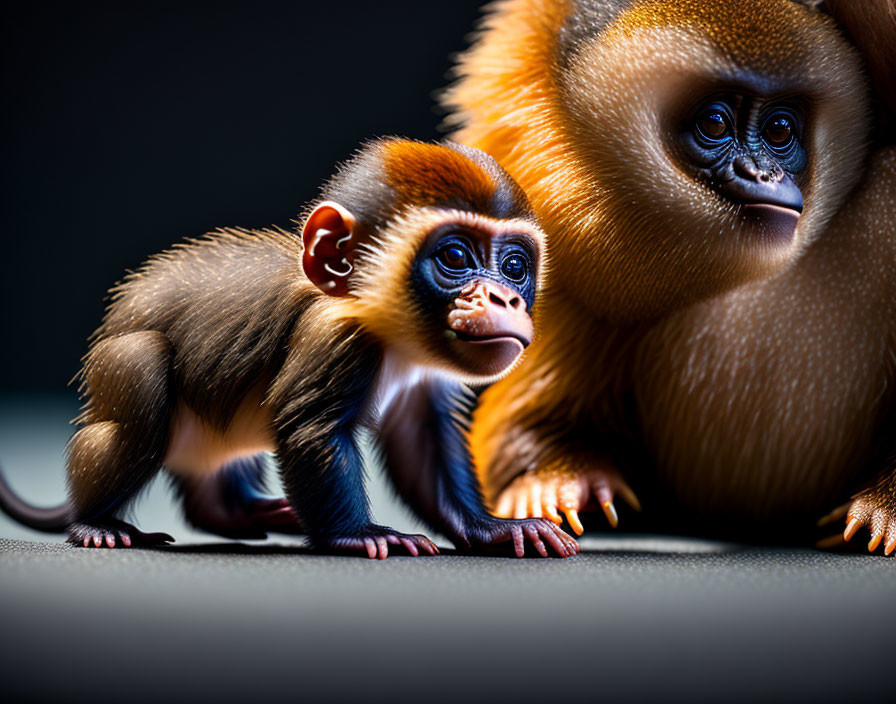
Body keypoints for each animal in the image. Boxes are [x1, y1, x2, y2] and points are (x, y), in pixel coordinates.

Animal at [0, 138, 580, 560]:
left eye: (514, 267)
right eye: (456, 257)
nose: (505, 297)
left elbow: (422, 445)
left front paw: (491, 529)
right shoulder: (331, 338)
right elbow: (309, 430)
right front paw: (359, 535)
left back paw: (234, 513)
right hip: (122, 363)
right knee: (142, 383)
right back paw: (93, 521)